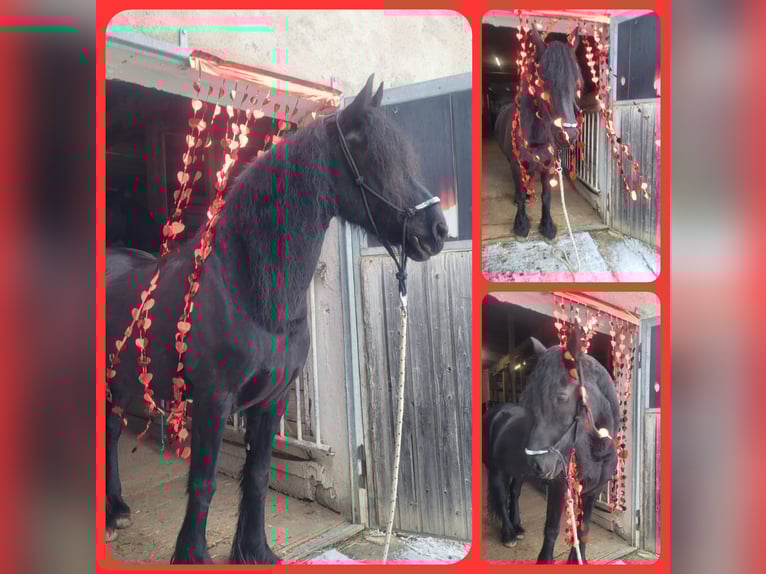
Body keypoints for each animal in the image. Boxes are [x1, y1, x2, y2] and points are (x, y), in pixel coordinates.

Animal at [105, 74, 449, 564]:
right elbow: (203, 483)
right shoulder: (213, 400)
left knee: (113, 430)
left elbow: (259, 475)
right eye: (372, 156)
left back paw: (116, 509)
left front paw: (254, 550)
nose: (436, 231)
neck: (249, 292)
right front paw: (193, 554)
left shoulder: (273, 399)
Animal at [482, 402, 533, 548]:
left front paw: (517, 526)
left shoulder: (521, 473)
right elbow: (501, 496)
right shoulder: (497, 471)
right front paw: (508, 534)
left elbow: (514, 492)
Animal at [494, 26, 582, 241]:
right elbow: (520, 191)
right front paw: (521, 225)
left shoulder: (548, 166)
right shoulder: (517, 165)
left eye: (576, 83)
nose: (568, 135)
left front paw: (547, 226)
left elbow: (546, 196)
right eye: (543, 80)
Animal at [521, 333, 618, 563]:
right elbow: (551, 527)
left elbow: (583, 529)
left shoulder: (593, 490)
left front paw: (576, 558)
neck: (596, 450)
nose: (536, 464)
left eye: (561, 396)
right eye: (527, 397)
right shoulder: (559, 483)